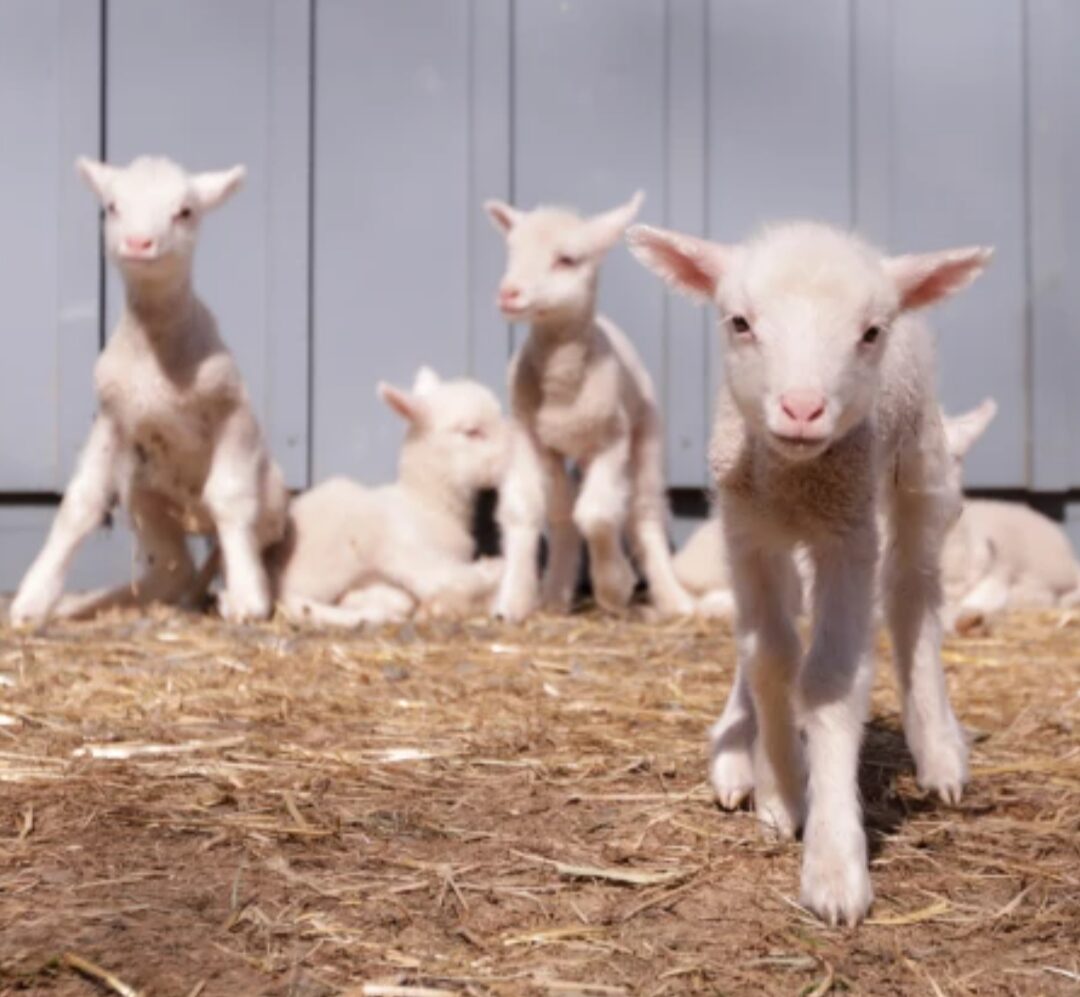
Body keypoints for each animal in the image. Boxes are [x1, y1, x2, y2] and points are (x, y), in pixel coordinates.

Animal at [10, 156, 287, 626]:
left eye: (185, 212)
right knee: (173, 571)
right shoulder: (111, 417)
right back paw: (91, 603)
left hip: (271, 508)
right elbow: (80, 503)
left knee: (227, 542)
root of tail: (195, 519)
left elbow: (230, 497)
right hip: (146, 500)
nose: (139, 243)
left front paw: (249, 600)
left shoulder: (232, 410)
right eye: (112, 207)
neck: (155, 356)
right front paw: (33, 600)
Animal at [483, 192, 693, 621]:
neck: (562, 389)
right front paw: (511, 601)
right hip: (559, 451)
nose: (509, 294)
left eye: (566, 259)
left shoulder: (612, 439)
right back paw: (555, 595)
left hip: (646, 433)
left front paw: (615, 586)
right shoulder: (528, 436)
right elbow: (525, 509)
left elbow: (596, 513)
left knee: (643, 511)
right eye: (512, 250)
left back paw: (673, 598)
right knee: (563, 514)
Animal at [628, 218, 992, 925]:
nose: (802, 409)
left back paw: (938, 752)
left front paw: (833, 864)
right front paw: (781, 790)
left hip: (919, 470)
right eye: (740, 322)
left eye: (870, 332)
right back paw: (738, 752)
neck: (796, 478)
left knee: (912, 595)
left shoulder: (847, 538)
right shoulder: (747, 531)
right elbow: (770, 655)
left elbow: (827, 679)